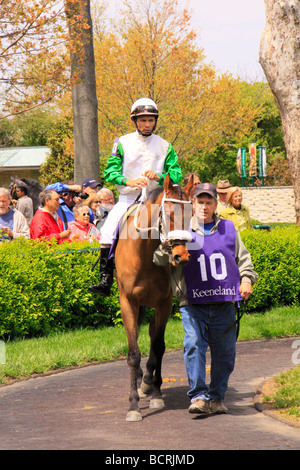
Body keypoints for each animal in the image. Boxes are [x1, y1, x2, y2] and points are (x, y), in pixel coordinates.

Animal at [113, 173, 193, 422]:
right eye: (169, 214)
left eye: (191, 215)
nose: (181, 256)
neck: (145, 254)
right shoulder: (128, 302)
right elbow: (133, 353)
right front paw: (133, 406)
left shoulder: (164, 302)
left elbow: (158, 346)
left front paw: (155, 391)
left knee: (151, 333)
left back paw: (148, 382)